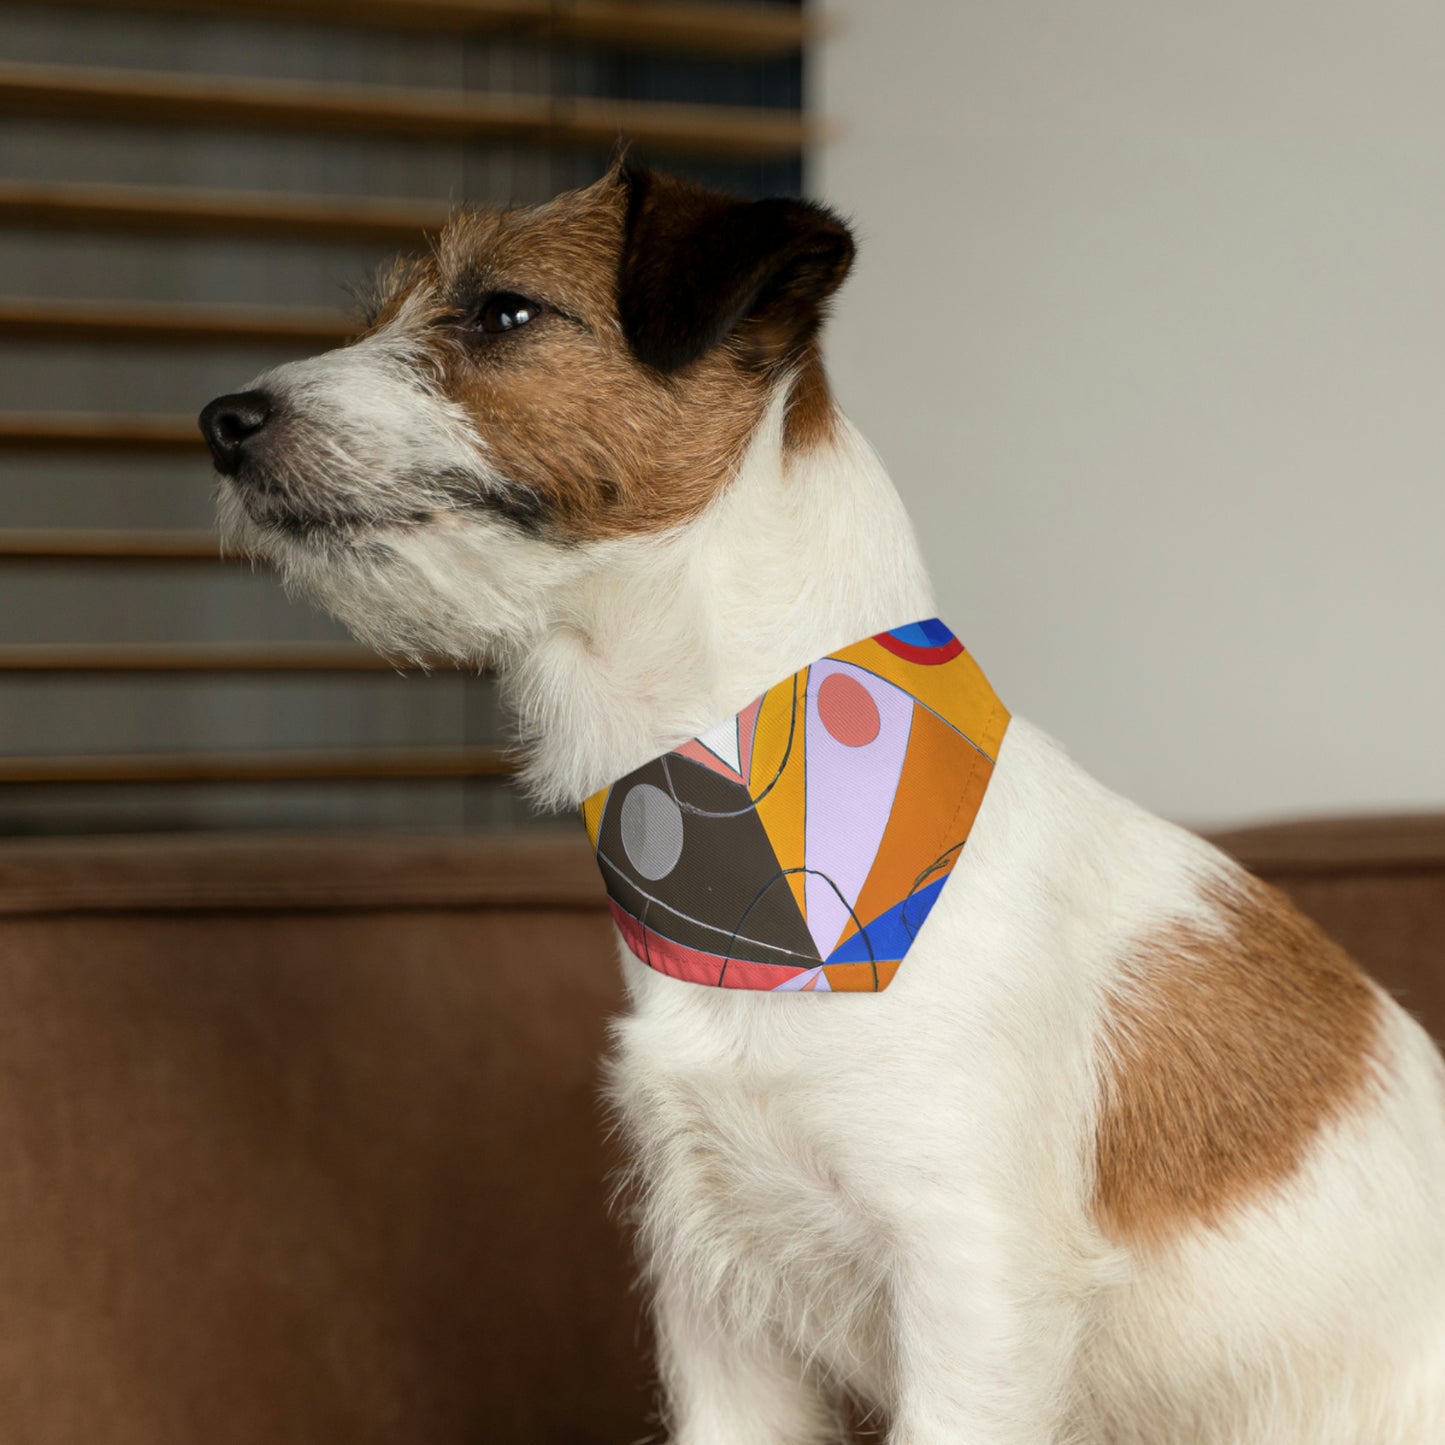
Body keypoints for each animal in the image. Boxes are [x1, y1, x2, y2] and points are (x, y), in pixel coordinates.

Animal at [200, 164, 1445, 1439]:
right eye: (381, 314)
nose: (222, 421)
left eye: (503, 311)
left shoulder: (972, 1293)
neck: (748, 846)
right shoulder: (716, 1306)